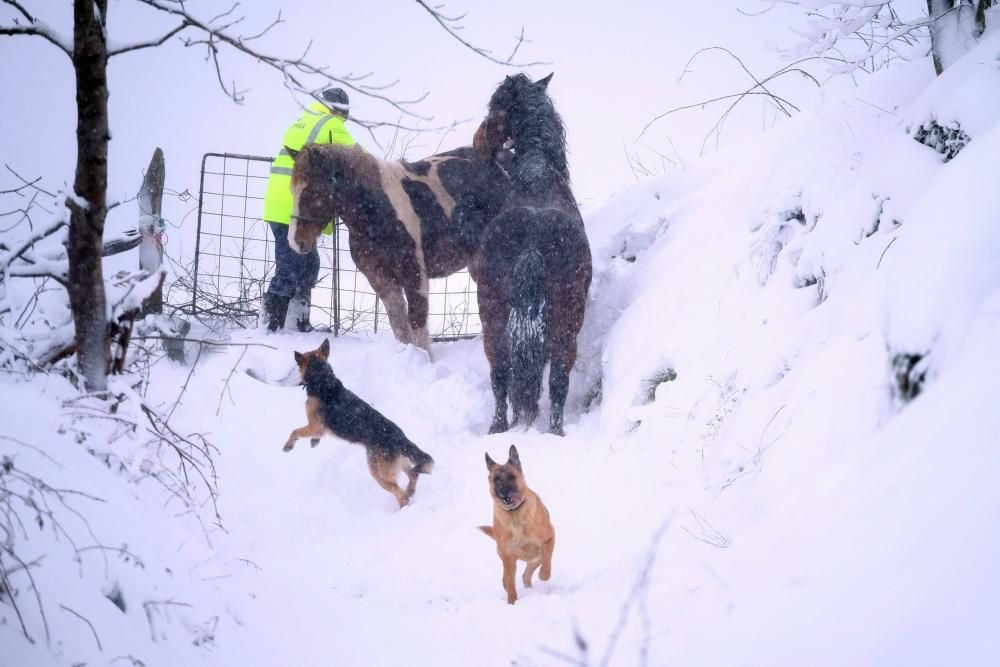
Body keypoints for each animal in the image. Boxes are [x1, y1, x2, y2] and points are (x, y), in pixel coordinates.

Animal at [284, 342, 436, 508]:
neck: (322, 379)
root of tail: (400, 437)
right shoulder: (318, 429)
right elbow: (313, 436)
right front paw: (314, 442)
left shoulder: (315, 426)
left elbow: (294, 431)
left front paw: (288, 445)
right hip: (399, 462)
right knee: (413, 474)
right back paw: (411, 490)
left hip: (379, 472)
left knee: (400, 493)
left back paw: (403, 505)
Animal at [288, 144, 508, 358]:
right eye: (292, 191)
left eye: (314, 191)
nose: (295, 242)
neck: (379, 212)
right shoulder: (382, 281)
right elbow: (399, 325)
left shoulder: (415, 276)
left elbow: (417, 322)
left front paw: (426, 360)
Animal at [470, 74, 588, 438]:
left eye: (494, 107)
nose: (477, 142)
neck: (537, 174)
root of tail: (533, 239)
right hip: (565, 322)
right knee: (555, 377)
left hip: (495, 314)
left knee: (503, 372)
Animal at [478, 444, 556, 604]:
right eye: (496, 480)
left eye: (511, 477)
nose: (504, 492)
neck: (515, 515)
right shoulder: (508, 556)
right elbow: (510, 583)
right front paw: (512, 602)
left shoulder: (549, 538)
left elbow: (547, 560)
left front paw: (544, 575)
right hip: (509, 558)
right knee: (513, 577)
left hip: (535, 557)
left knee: (527, 573)